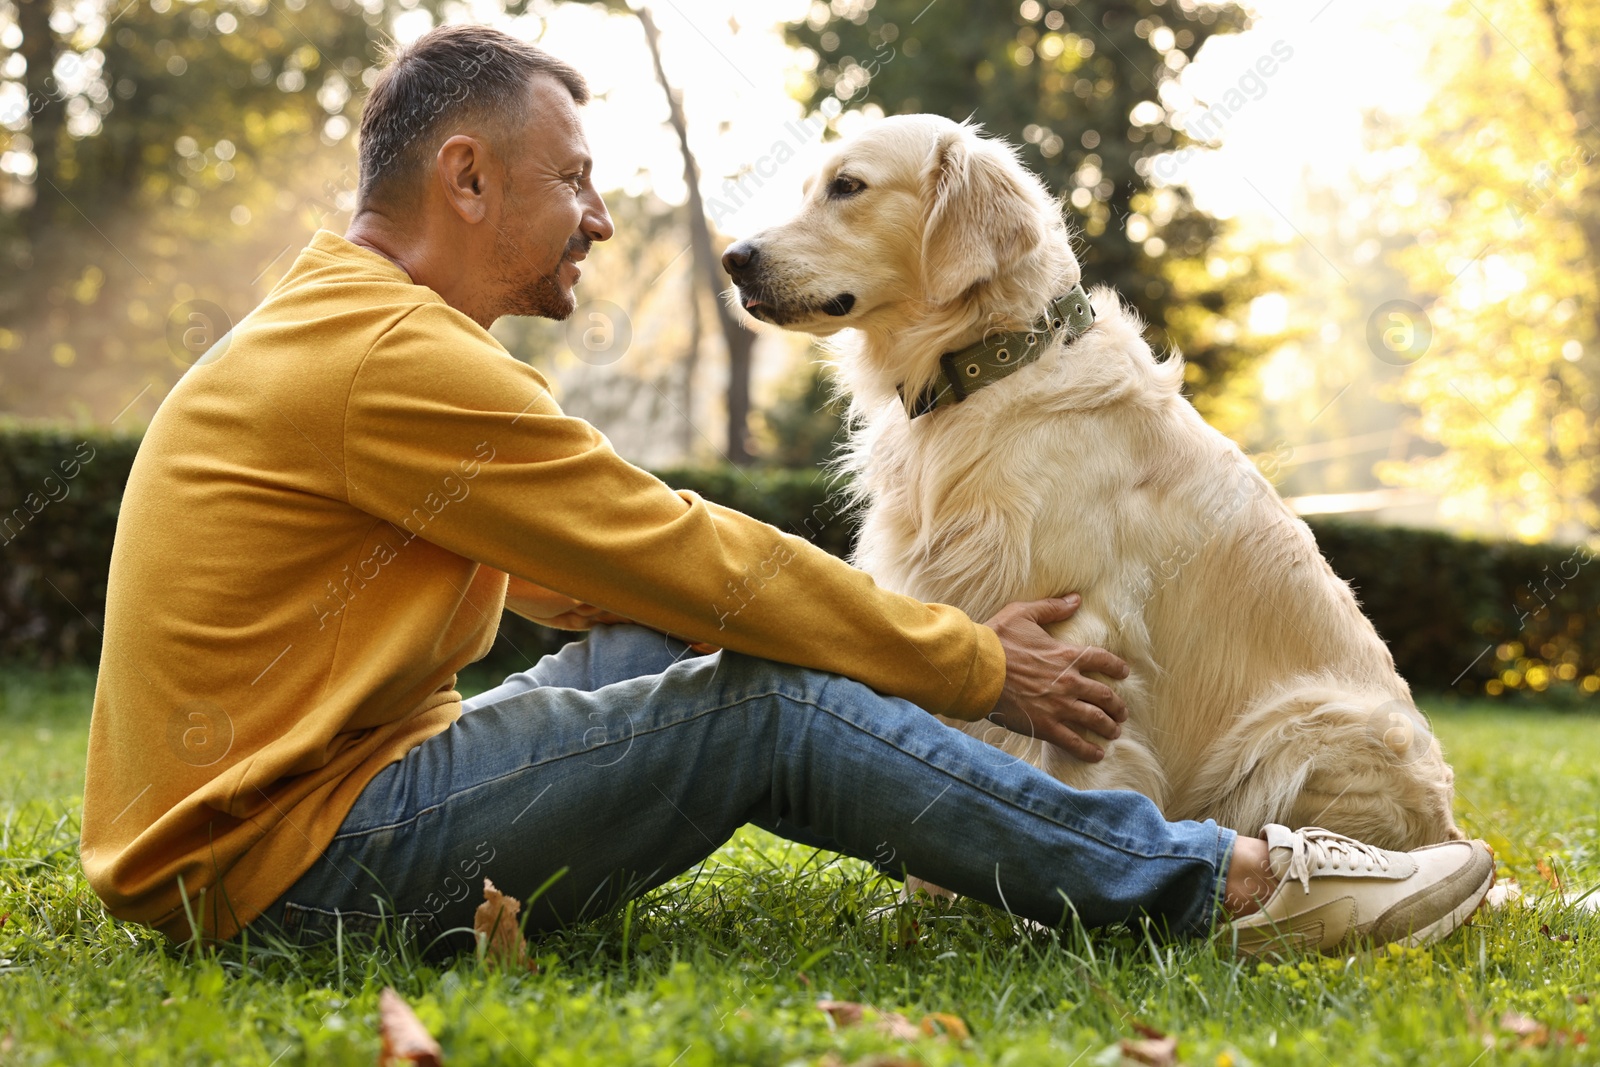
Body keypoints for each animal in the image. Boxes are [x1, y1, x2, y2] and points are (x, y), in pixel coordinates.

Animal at [726, 115, 1465, 857]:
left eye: (848, 187)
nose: (734, 257)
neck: (992, 366)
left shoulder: (1084, 638)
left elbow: (1071, 784)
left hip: (1304, 729)